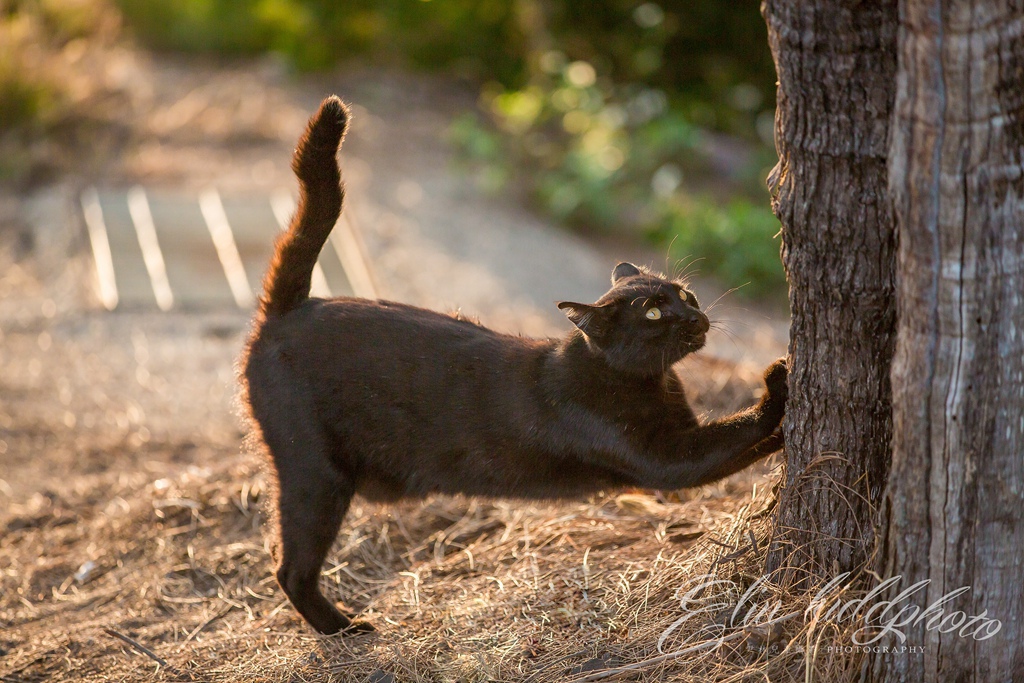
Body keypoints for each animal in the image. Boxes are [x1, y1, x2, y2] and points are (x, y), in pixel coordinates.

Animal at [243, 96, 786, 634]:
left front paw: (780, 442)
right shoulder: (666, 458)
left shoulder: (681, 441)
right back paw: (343, 628)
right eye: (653, 313)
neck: (649, 381)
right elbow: (731, 435)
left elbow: (738, 449)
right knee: (288, 566)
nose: (696, 315)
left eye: (685, 293)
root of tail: (290, 310)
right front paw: (780, 384)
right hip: (315, 475)